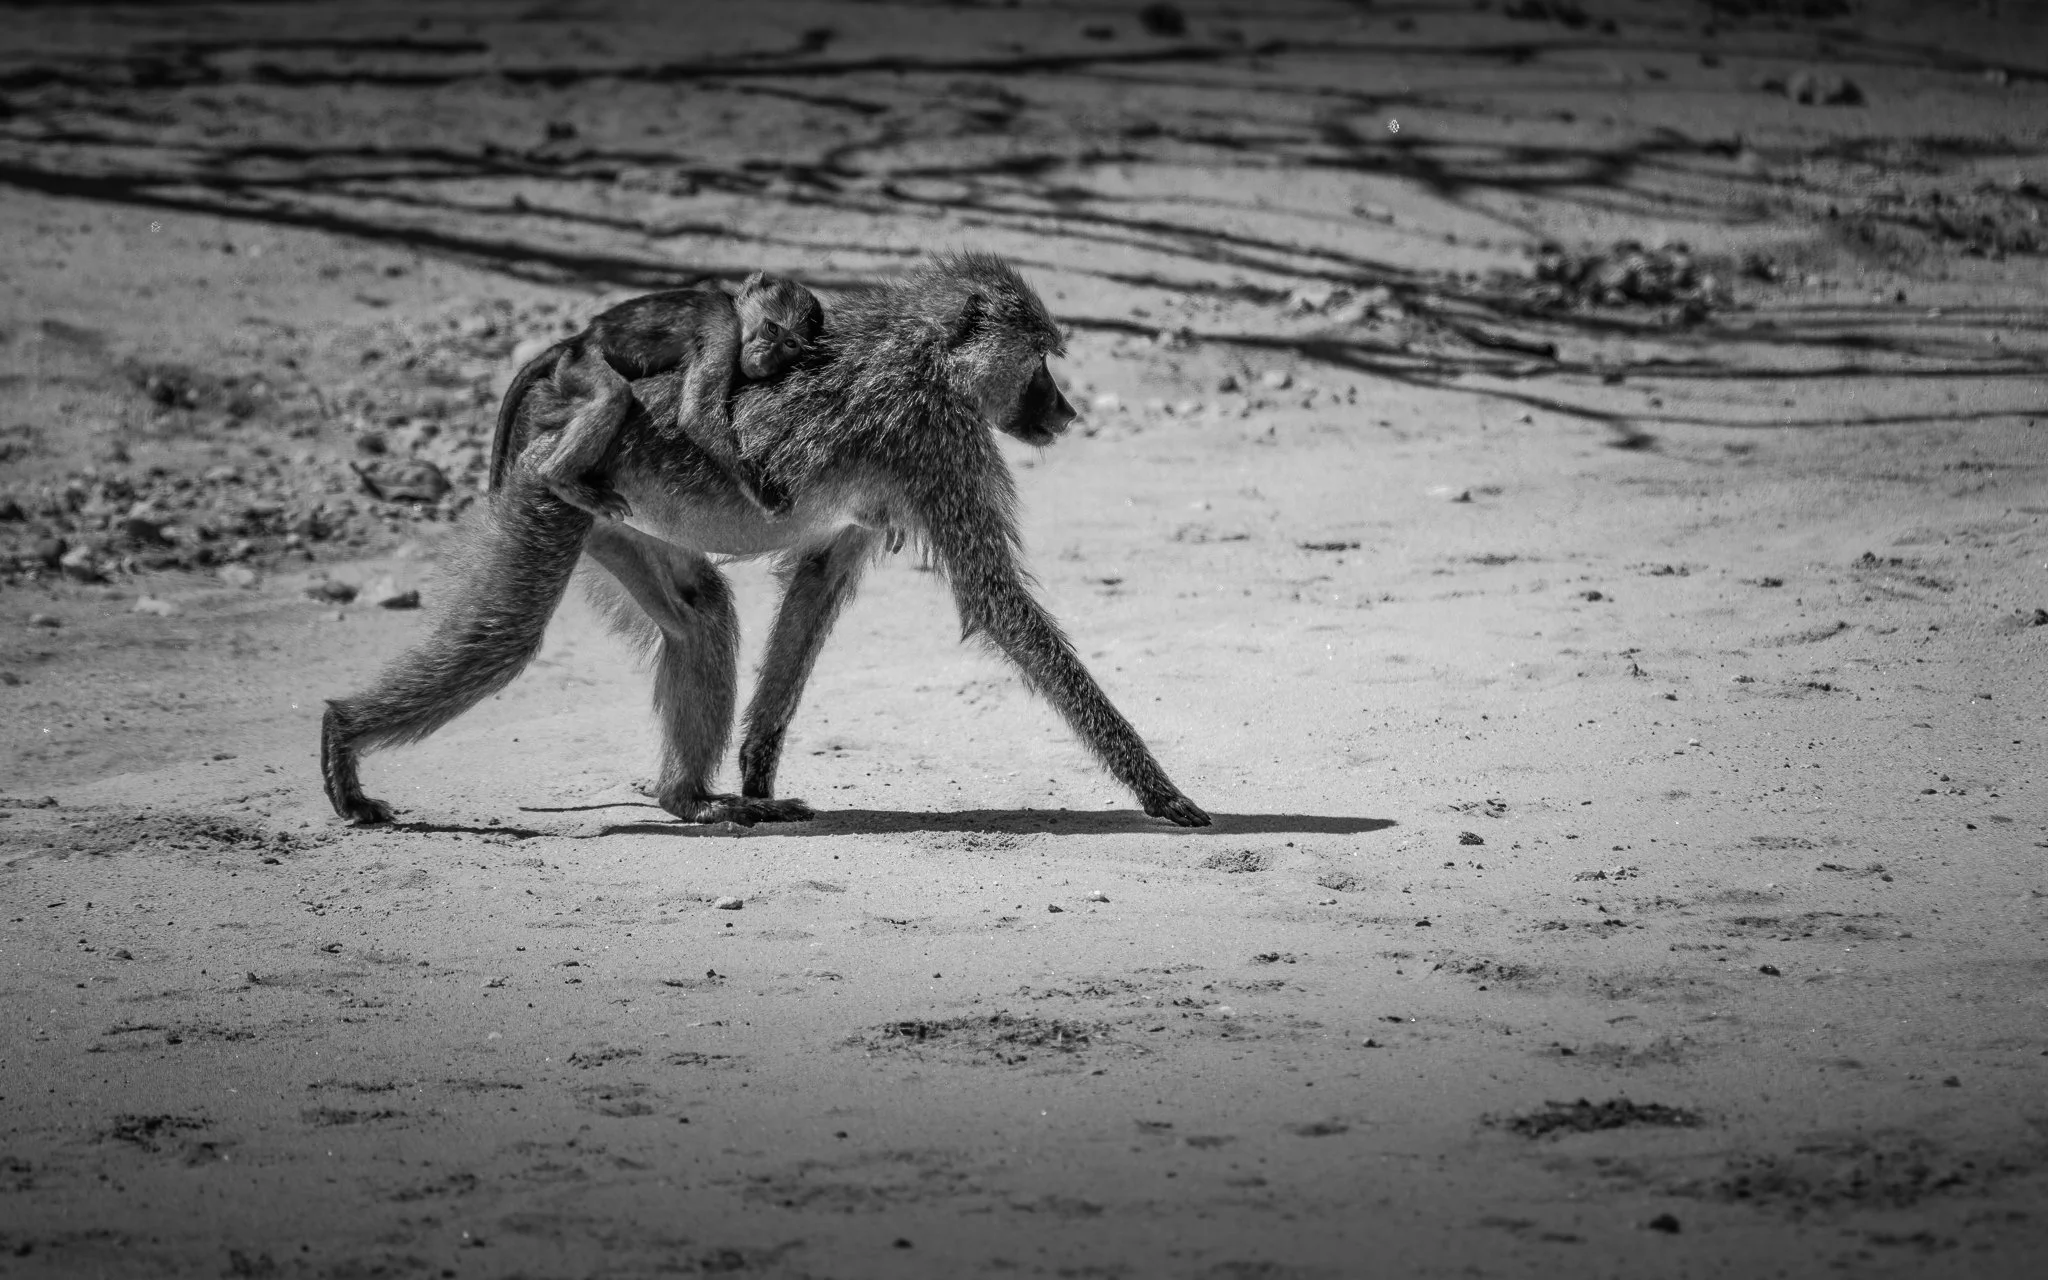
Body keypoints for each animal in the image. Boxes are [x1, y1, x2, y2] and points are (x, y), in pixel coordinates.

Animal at [489, 272, 824, 521]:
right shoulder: (721, 331)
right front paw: (768, 498)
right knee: (614, 395)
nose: (767, 358)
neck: (736, 312)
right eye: (772, 329)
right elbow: (698, 415)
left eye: (791, 344)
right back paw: (559, 480)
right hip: (578, 365)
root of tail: (580, 339)